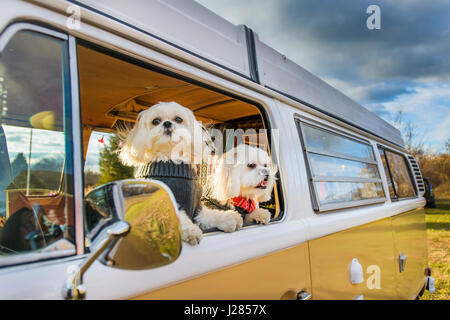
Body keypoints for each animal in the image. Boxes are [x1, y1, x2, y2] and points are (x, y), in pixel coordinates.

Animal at [118, 102, 241, 245]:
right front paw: (191, 231)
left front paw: (229, 217)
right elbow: (178, 216)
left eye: (178, 119)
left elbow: (211, 214)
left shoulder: (197, 208)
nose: (167, 123)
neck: (169, 160)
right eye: (155, 121)